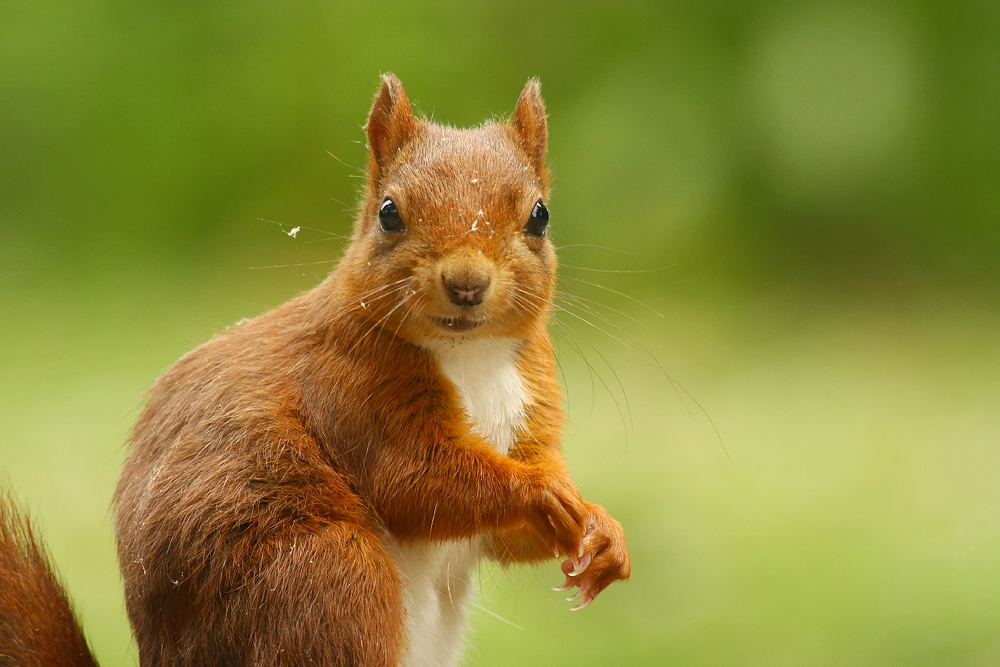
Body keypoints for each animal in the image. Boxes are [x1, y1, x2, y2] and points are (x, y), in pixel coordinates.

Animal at [0, 74, 624, 667]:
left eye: (540, 216)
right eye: (389, 214)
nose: (466, 282)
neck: (471, 356)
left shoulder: (530, 397)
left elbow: (505, 535)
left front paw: (598, 527)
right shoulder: (350, 389)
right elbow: (418, 480)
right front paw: (539, 491)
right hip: (330, 577)